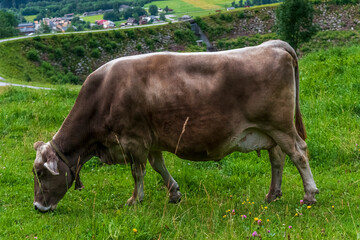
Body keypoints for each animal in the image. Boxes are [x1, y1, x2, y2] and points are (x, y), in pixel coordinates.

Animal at [31, 40, 318, 212]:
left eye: (41, 173)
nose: (37, 207)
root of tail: (273, 44)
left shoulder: (133, 140)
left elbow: (138, 172)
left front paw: (135, 200)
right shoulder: (150, 139)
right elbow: (158, 166)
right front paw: (174, 193)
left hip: (281, 126)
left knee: (299, 153)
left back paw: (310, 194)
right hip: (269, 131)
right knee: (278, 158)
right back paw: (272, 194)